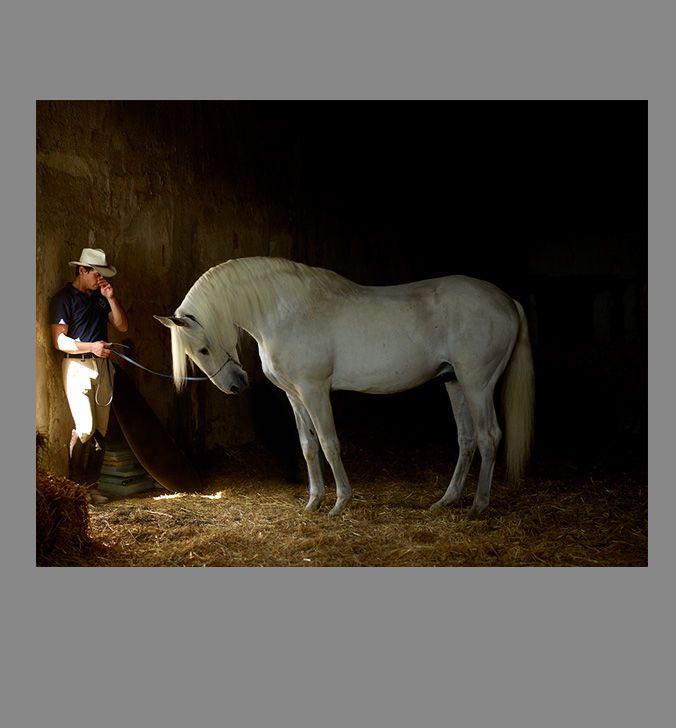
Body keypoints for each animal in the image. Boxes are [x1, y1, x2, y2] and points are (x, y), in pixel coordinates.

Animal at [155, 257, 534, 518]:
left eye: (202, 349)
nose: (235, 385)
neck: (285, 310)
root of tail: (507, 300)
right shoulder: (295, 395)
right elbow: (308, 446)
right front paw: (313, 502)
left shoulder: (314, 391)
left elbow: (329, 444)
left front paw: (340, 503)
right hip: (454, 382)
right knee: (467, 439)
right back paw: (446, 500)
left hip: (477, 384)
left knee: (488, 437)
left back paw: (479, 505)